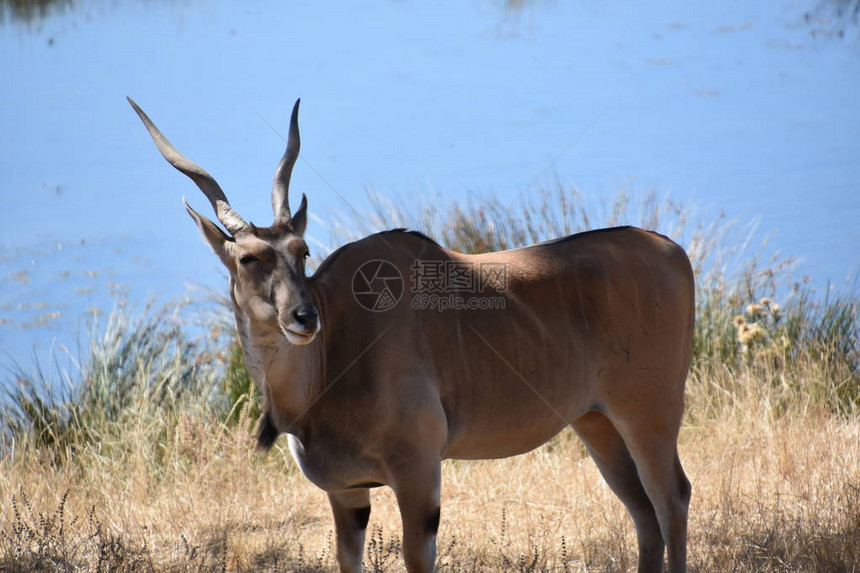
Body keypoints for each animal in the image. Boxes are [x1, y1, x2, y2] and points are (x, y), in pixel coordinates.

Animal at [127, 98, 692, 572]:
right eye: (248, 258)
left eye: (302, 251)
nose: (304, 318)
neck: (333, 358)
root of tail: (669, 250)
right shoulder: (347, 494)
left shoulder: (419, 475)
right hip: (598, 422)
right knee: (643, 512)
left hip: (648, 414)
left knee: (672, 498)